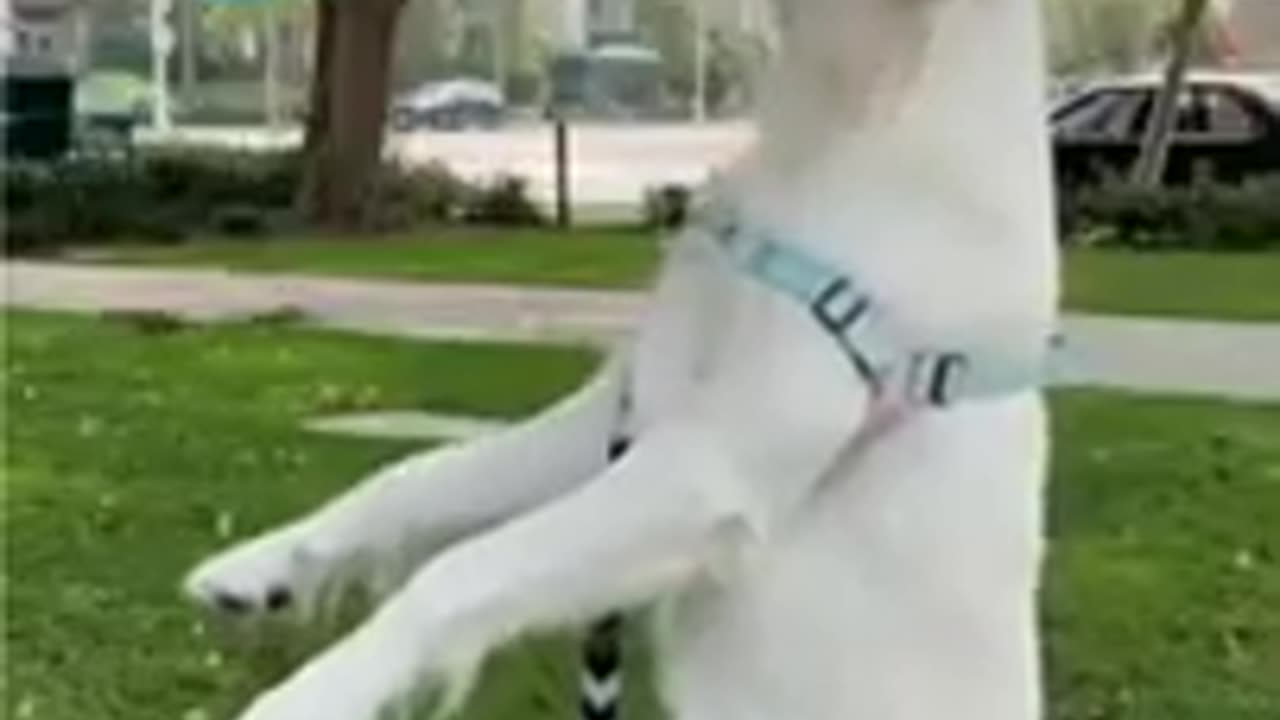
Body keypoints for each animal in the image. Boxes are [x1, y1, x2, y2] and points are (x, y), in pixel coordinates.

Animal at [183, 1, 1059, 717]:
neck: (852, 113)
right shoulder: (618, 414)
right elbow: (412, 477)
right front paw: (265, 567)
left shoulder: (711, 466)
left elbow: (457, 571)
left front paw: (313, 695)